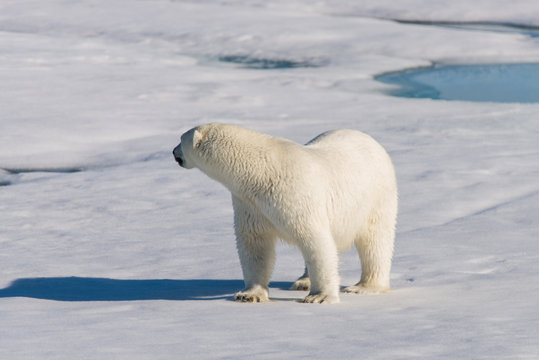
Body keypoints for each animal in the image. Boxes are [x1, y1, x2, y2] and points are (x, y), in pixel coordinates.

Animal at [173, 124, 396, 304]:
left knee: (375, 241)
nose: (174, 153)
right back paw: (303, 281)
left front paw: (319, 297)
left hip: (377, 196)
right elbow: (254, 244)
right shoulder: (250, 204)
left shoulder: (296, 195)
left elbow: (315, 240)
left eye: (180, 139)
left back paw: (364, 287)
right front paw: (249, 294)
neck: (260, 172)